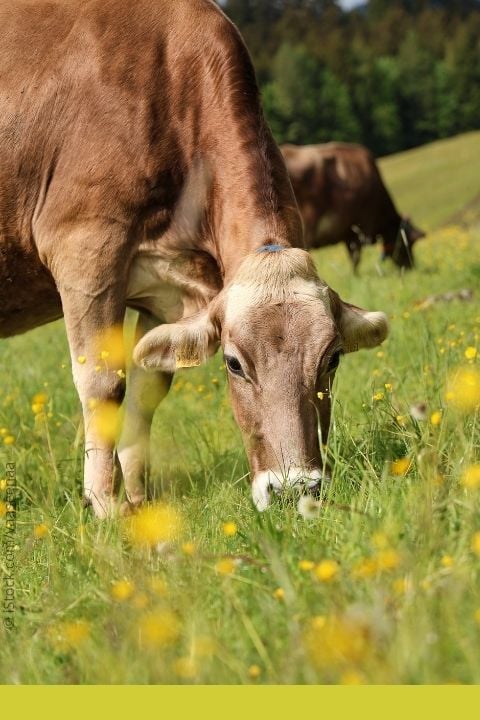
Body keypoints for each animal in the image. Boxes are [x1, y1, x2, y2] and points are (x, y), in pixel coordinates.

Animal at [0, 0, 388, 518]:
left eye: (334, 359)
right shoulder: (86, 247)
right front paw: (104, 507)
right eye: (233, 364)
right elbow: (103, 384)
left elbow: (147, 389)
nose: (292, 490)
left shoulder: (167, 292)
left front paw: (140, 501)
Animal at [280, 142, 425, 273]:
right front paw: (356, 277)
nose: (411, 267)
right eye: (409, 243)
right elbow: (355, 259)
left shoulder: (347, 234)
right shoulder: (356, 231)